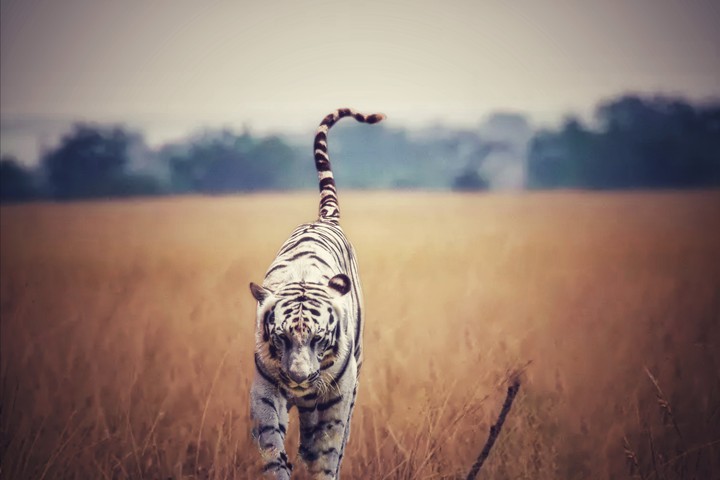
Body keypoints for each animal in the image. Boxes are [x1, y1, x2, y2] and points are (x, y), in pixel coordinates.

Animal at [249, 108, 385, 479]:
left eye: (318, 339)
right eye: (280, 338)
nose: (297, 377)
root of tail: (324, 219)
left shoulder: (337, 395)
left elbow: (328, 449)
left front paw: (322, 466)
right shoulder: (265, 389)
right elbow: (271, 441)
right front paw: (278, 466)